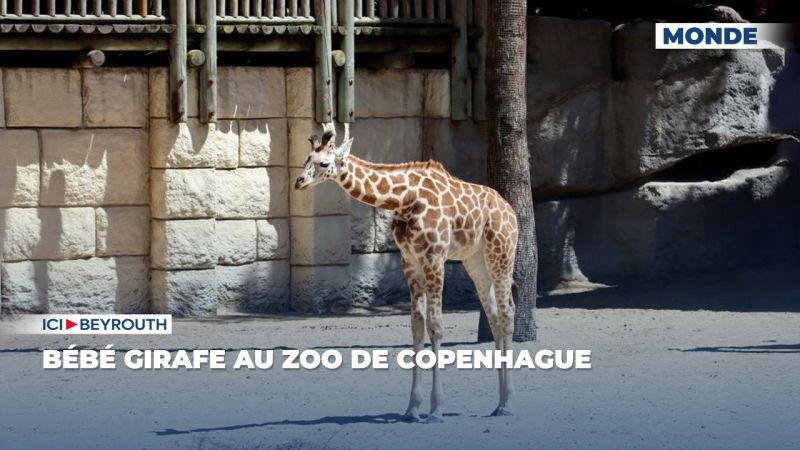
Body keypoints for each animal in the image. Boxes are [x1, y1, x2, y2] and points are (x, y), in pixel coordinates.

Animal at [294, 125, 519, 422]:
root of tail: (510, 210)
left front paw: (436, 409)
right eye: (306, 159)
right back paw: (498, 402)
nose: (298, 182)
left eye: (323, 163)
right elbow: (417, 327)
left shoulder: (434, 257)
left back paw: (508, 403)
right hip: (475, 260)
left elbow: (436, 326)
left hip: (501, 254)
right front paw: (412, 408)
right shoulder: (410, 261)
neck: (403, 199)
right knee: (494, 316)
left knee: (507, 313)